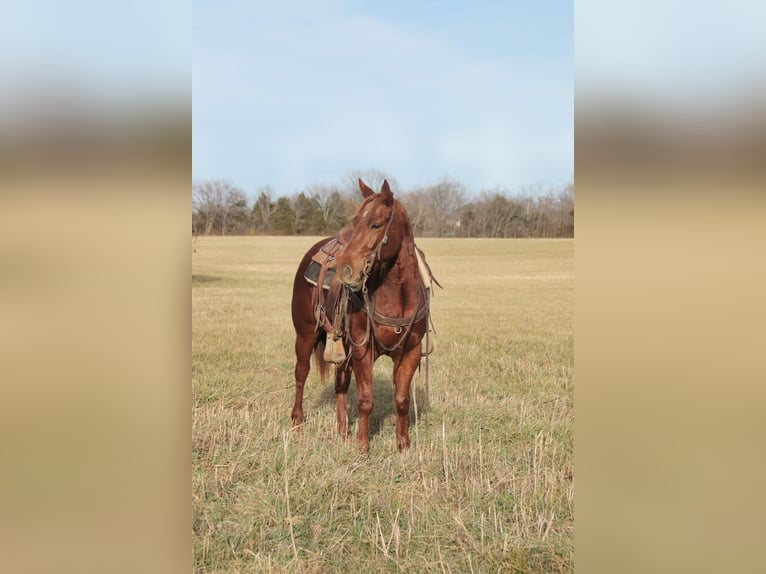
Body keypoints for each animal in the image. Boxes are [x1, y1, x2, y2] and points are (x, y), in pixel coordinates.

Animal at [290, 178, 435, 453]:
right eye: (356, 221)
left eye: (376, 224)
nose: (345, 269)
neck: (397, 293)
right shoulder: (362, 349)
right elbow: (366, 399)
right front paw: (363, 446)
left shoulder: (410, 352)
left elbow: (401, 399)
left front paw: (403, 444)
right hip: (305, 335)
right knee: (301, 374)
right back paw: (297, 423)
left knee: (340, 382)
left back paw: (342, 429)